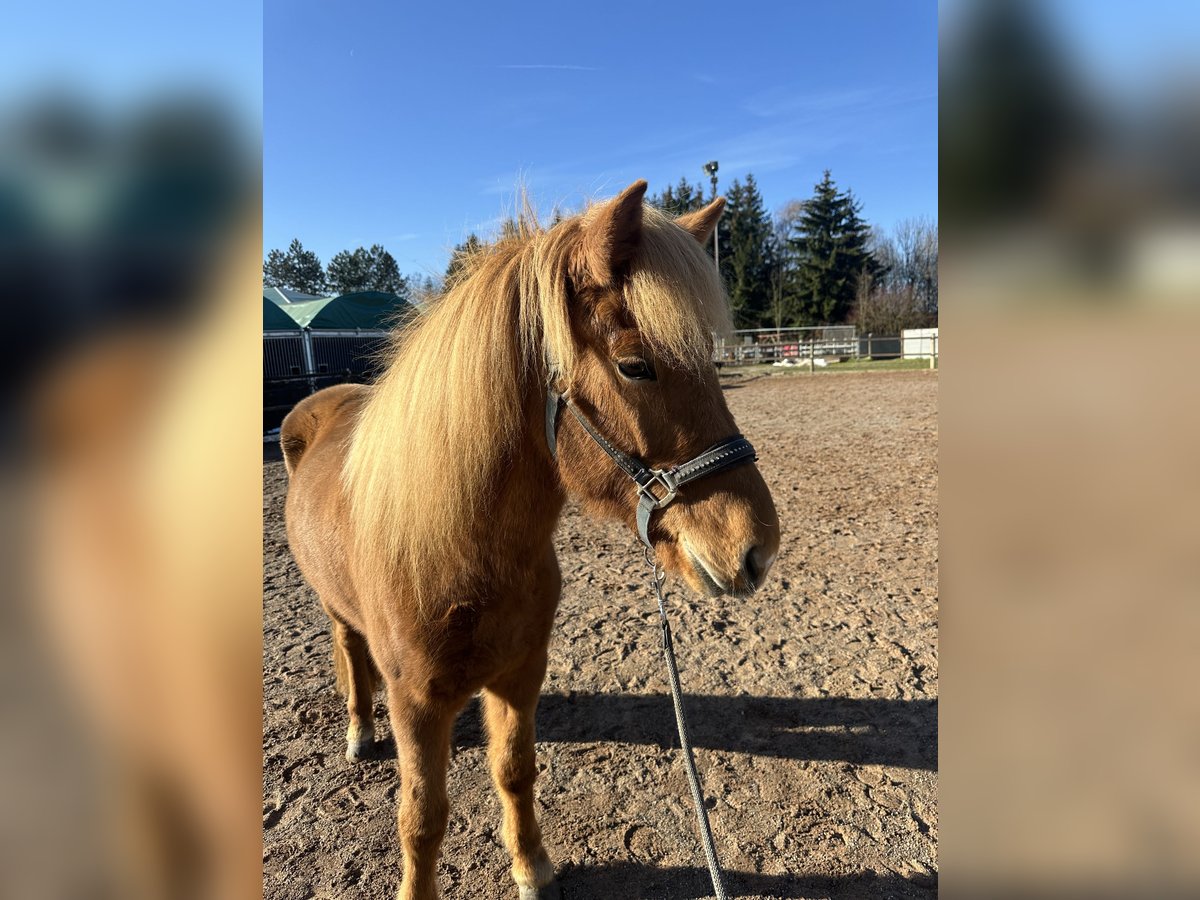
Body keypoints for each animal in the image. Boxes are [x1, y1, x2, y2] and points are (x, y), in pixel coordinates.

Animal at [285, 180, 782, 897]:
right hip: (336, 611)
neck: (459, 555)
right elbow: (421, 819)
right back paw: (358, 728)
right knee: (349, 650)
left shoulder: (521, 674)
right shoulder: (415, 705)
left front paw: (531, 867)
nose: (757, 548)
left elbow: (514, 771)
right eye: (635, 366)